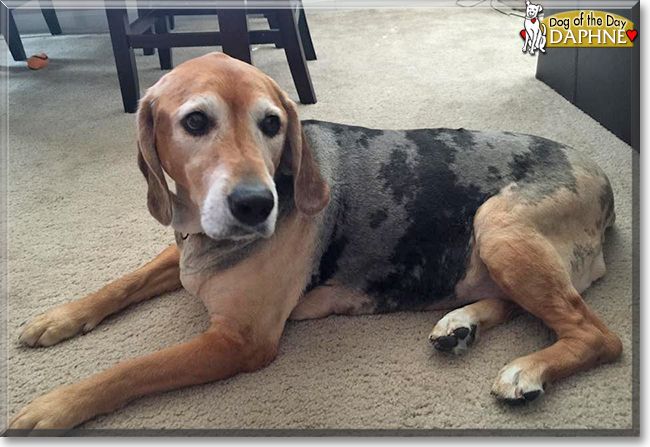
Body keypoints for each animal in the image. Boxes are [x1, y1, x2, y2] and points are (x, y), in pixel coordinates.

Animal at [7, 52, 620, 434]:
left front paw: (53, 406)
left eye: (272, 123)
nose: (257, 205)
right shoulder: (182, 251)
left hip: (499, 225)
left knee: (598, 335)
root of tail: (604, 179)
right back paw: (459, 324)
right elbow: (122, 282)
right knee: (521, 302)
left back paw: (527, 369)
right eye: (196, 122)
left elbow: (130, 369)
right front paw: (58, 318)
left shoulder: (239, 341)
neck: (202, 233)